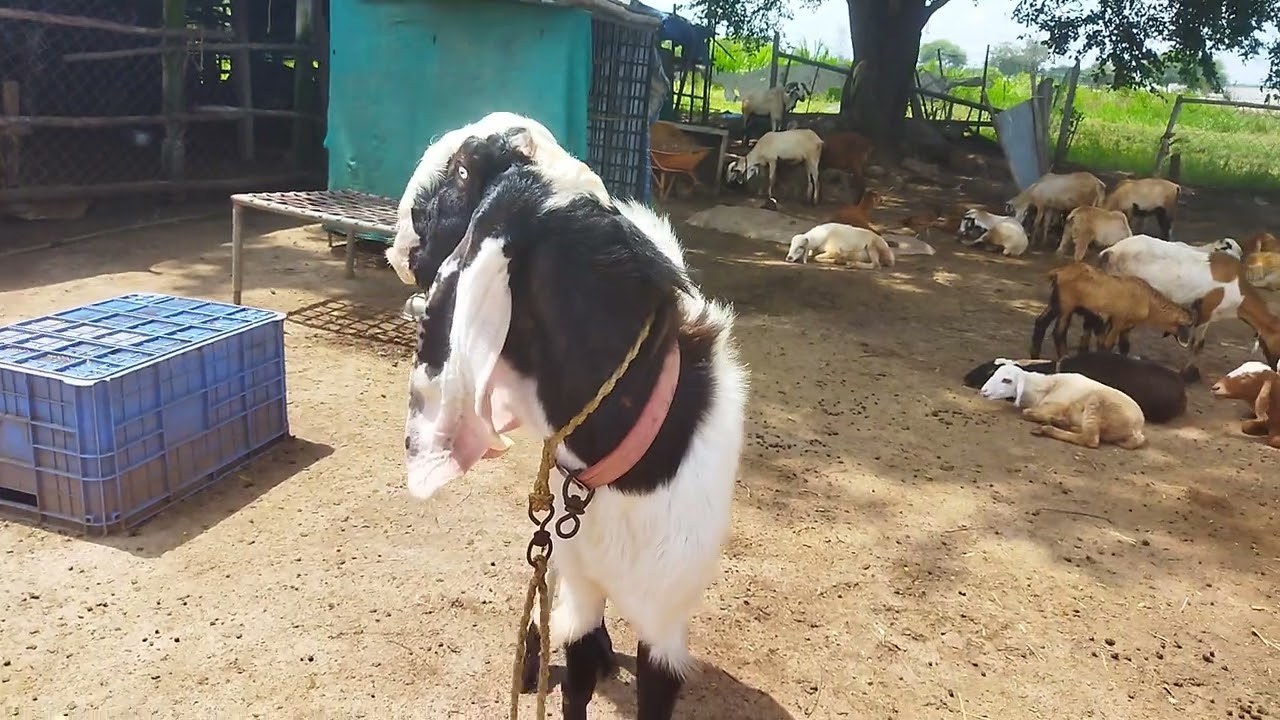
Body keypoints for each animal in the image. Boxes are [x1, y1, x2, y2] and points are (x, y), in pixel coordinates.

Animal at [978, 361, 1147, 449]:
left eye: (1007, 380)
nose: (983, 391)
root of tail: (1137, 431)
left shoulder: (1055, 405)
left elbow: (1026, 413)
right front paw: (1058, 420)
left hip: (1096, 403)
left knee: (1090, 439)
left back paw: (1048, 428)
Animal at [1029, 261, 1196, 360]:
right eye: (1188, 325)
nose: (1188, 341)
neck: (1149, 302)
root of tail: (1058, 272)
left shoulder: (1127, 326)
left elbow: (1124, 347)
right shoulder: (1118, 321)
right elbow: (1107, 345)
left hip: (1055, 302)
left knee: (1041, 322)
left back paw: (1035, 356)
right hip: (1066, 305)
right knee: (1059, 332)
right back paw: (1063, 356)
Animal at [1099, 233, 1280, 382]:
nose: (1275, 368)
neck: (1238, 289)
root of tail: (1110, 251)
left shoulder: (1208, 314)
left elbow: (1200, 344)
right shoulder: (1206, 312)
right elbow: (1196, 344)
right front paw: (1188, 375)